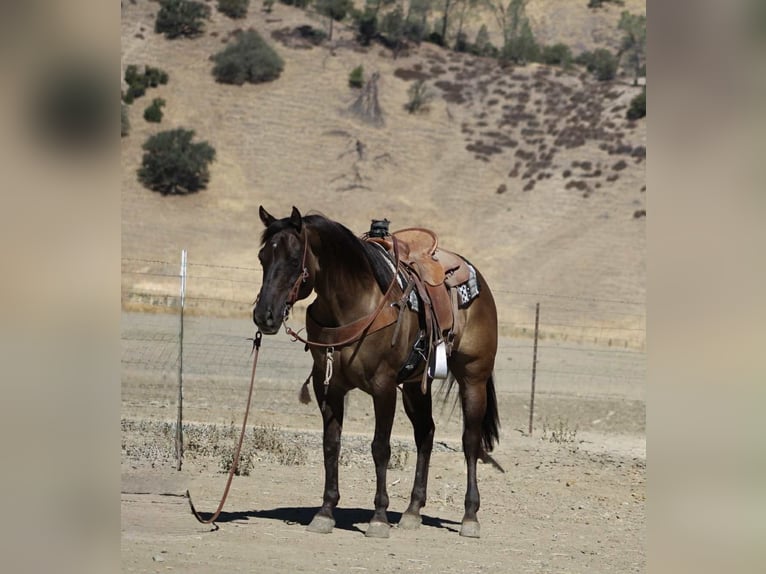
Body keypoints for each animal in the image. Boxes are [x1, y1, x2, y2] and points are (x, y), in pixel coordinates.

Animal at [252, 206, 499, 538]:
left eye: (293, 259)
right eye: (262, 257)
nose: (263, 315)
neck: (353, 304)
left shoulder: (383, 387)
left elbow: (380, 447)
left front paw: (379, 518)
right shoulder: (327, 386)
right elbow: (331, 444)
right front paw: (325, 512)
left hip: (473, 377)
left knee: (470, 441)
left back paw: (469, 517)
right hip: (414, 387)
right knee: (426, 434)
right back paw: (412, 511)